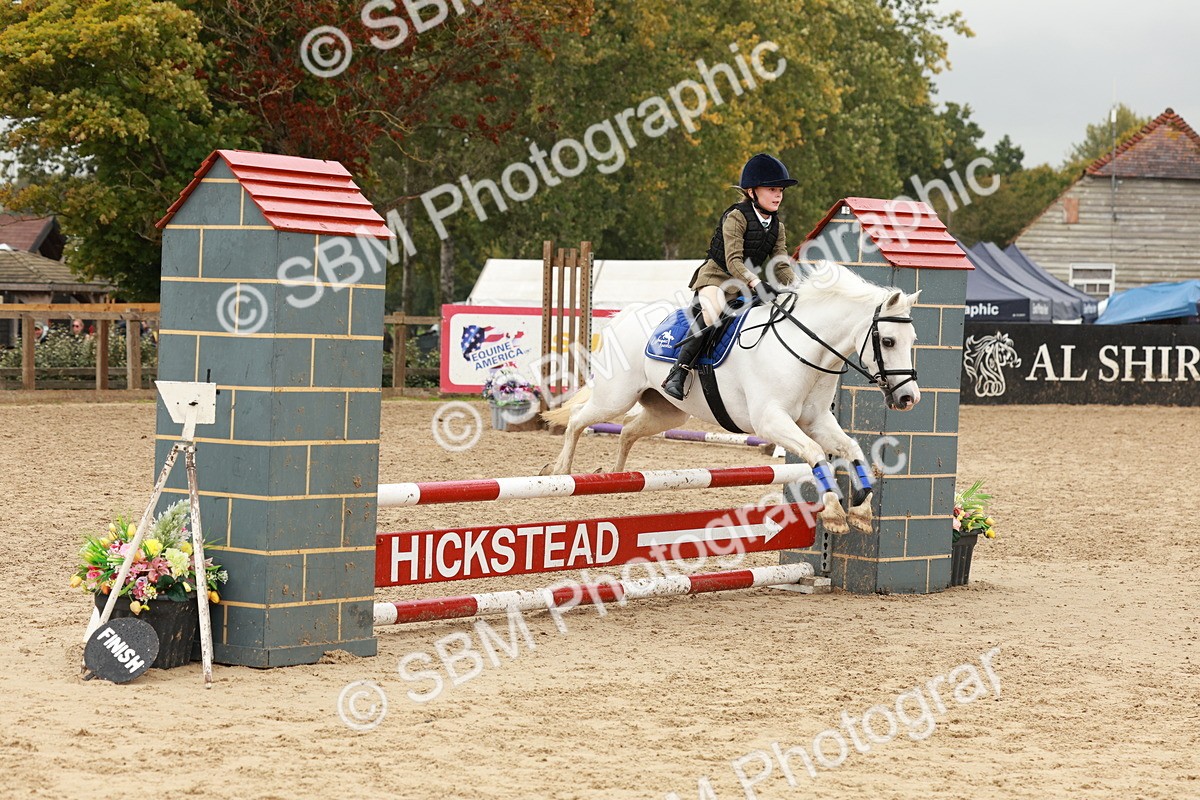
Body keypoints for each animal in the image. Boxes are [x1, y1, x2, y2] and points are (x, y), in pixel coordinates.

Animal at [541, 260, 922, 534]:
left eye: (913, 339)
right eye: (888, 341)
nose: (908, 399)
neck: (805, 348)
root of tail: (622, 317)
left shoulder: (816, 420)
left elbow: (852, 449)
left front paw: (861, 510)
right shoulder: (771, 421)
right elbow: (816, 453)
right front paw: (832, 512)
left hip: (668, 412)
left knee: (629, 430)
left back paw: (618, 480)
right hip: (614, 398)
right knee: (577, 420)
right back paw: (561, 471)